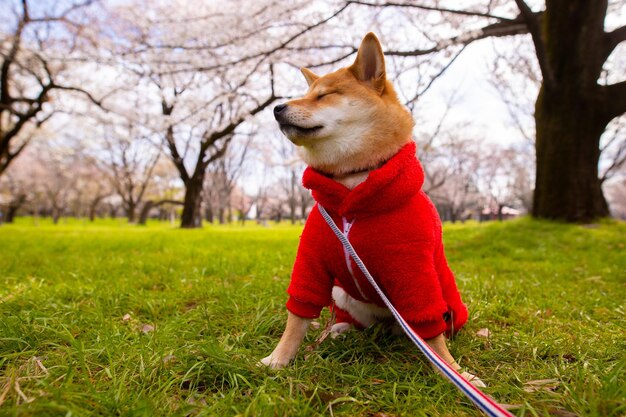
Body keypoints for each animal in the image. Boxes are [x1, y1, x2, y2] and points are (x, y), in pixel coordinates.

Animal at [260, 32, 486, 386]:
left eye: (324, 95)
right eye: (307, 94)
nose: (277, 108)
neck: (352, 186)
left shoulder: (413, 268)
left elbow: (432, 334)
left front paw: (456, 372)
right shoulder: (310, 259)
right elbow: (296, 317)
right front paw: (278, 359)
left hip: (442, 306)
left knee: (426, 329)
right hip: (341, 293)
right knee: (355, 322)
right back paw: (339, 329)